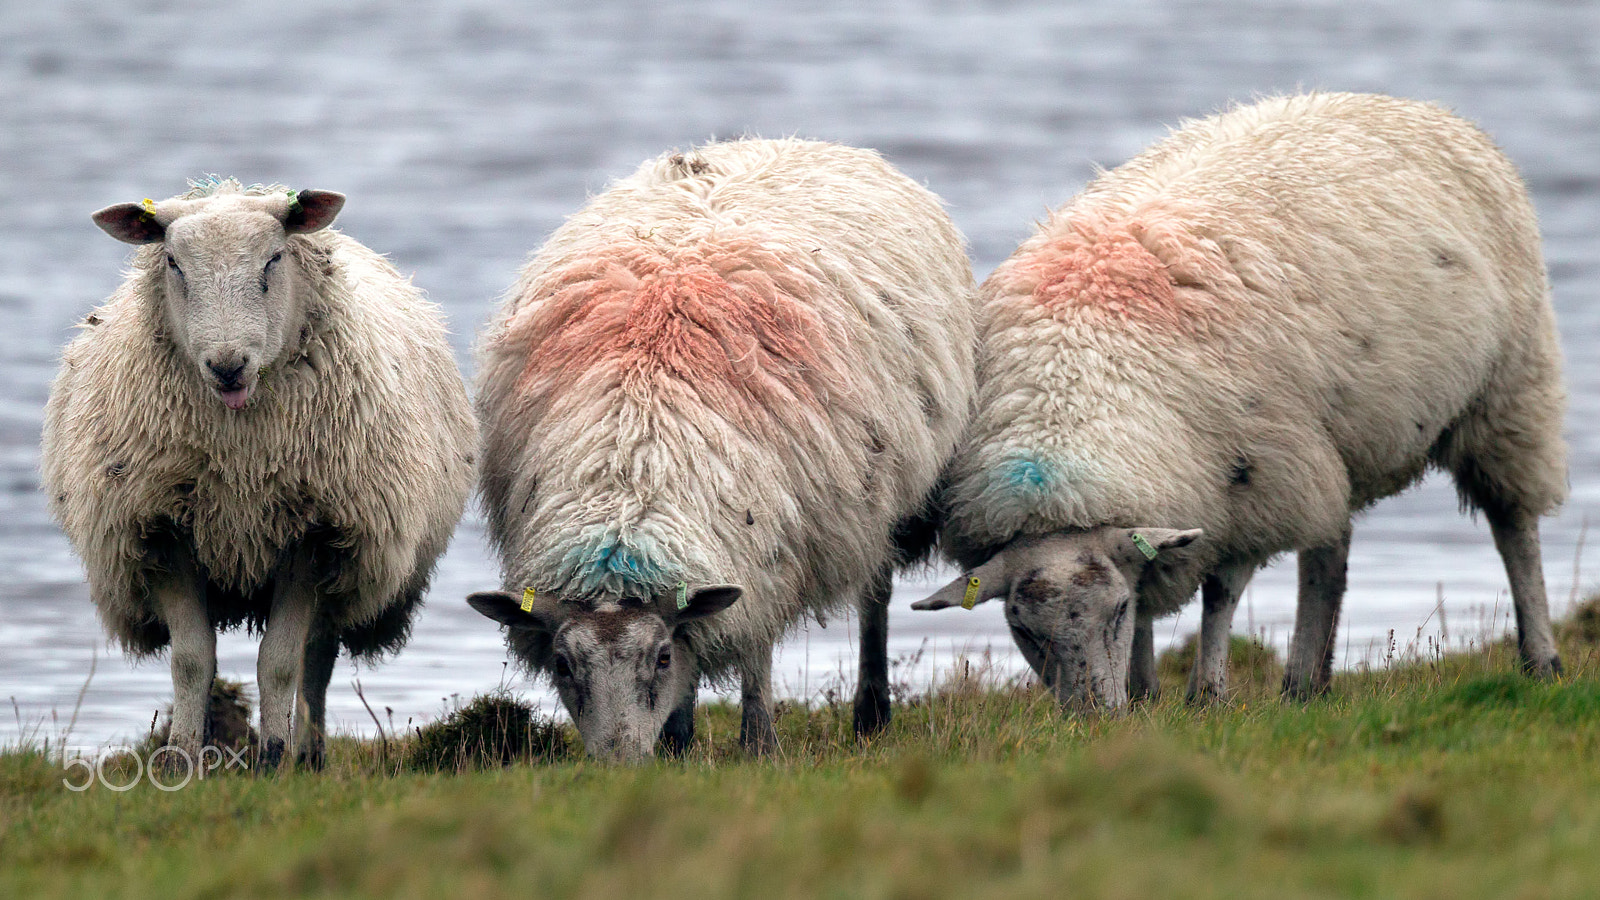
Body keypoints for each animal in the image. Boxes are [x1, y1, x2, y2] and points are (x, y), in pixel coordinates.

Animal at [42, 178, 473, 768]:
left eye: (273, 258)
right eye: (173, 262)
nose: (228, 366)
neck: (242, 465)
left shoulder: (313, 533)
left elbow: (281, 661)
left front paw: (272, 757)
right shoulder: (163, 531)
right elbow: (192, 660)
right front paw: (179, 758)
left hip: (347, 560)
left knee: (317, 657)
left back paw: (307, 753)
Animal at [467, 138, 972, 755]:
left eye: (660, 658)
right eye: (564, 665)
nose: (619, 763)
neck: (632, 470)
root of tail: (779, 139)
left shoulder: (768, 557)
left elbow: (754, 650)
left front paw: (758, 741)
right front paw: (678, 742)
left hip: (882, 499)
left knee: (874, 593)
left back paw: (871, 714)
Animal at [921, 91, 1568, 707]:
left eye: (1115, 612)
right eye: (1024, 631)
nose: (1093, 716)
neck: (1066, 394)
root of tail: (1413, 106)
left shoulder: (1256, 480)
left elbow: (1221, 592)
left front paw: (1207, 693)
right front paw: (1145, 694)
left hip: (1509, 389)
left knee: (1514, 526)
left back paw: (1542, 660)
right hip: (1332, 439)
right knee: (1329, 553)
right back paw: (1306, 683)